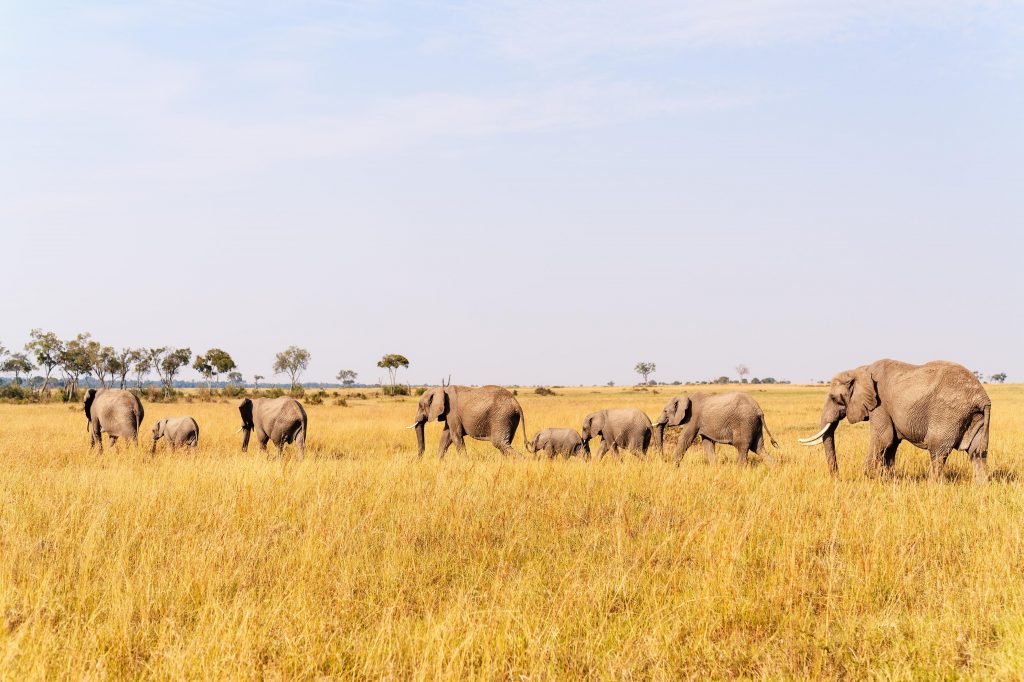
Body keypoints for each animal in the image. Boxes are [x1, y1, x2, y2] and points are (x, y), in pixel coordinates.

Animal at [799, 359, 991, 482]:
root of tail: (982, 397)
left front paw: (869, 478)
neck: (861, 370)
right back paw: (980, 488)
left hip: (948, 414)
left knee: (938, 451)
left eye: (834, 398)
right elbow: (891, 444)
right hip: (975, 417)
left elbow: (884, 438)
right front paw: (887, 480)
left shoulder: (880, 405)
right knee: (977, 453)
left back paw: (933, 486)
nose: (837, 479)